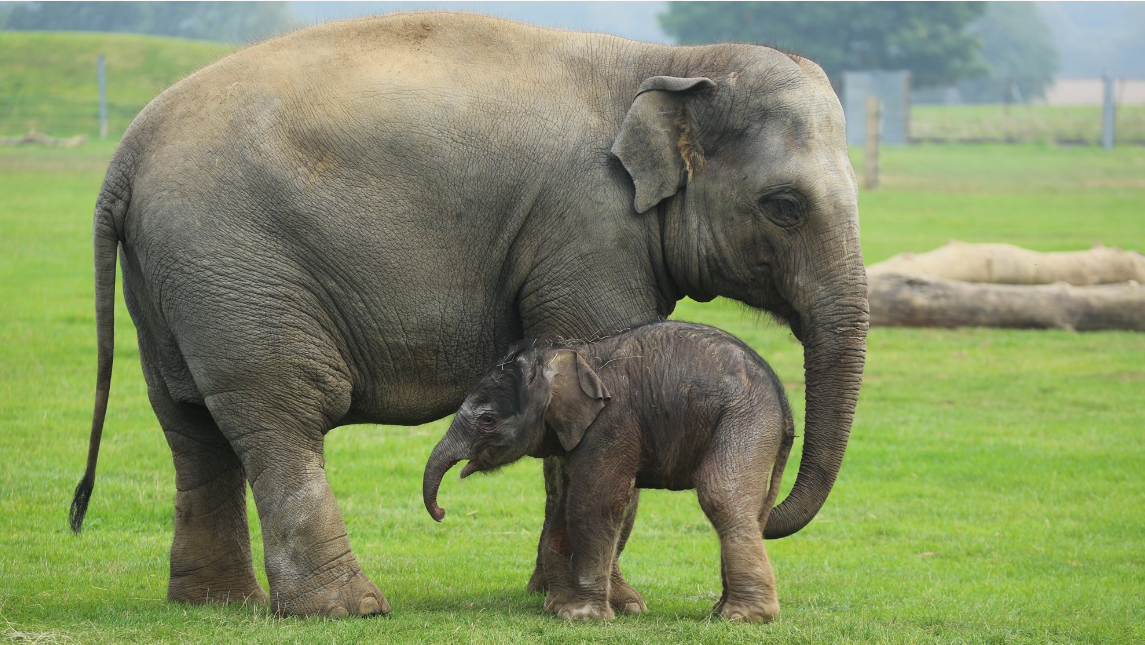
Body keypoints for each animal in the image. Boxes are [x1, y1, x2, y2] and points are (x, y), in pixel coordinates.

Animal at [421, 320, 787, 618]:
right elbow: (566, 506)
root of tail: (782, 398)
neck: (571, 356)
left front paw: (580, 617)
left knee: (720, 496)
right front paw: (557, 608)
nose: (441, 512)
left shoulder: (611, 423)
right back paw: (722, 610)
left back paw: (743, 616)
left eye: (487, 421)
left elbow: (593, 502)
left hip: (745, 420)